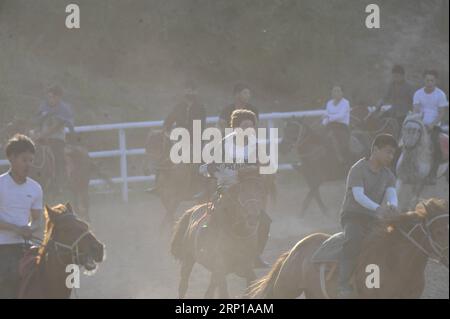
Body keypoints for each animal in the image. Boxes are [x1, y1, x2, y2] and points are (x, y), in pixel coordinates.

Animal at [170, 172, 274, 300]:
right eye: (242, 193)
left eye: (262, 194)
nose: (253, 217)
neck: (238, 234)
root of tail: (193, 210)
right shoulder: (221, 269)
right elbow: (224, 292)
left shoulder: (245, 268)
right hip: (188, 260)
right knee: (183, 285)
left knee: (209, 291)